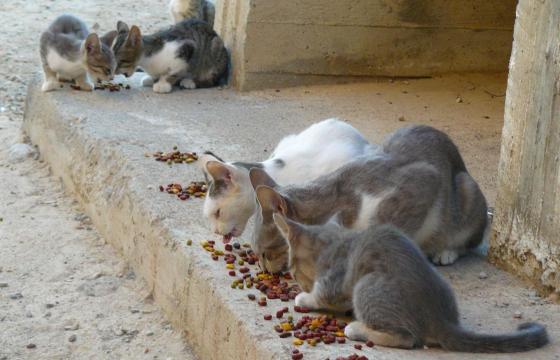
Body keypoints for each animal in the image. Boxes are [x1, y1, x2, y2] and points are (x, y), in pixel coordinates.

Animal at [252, 125, 488, 272]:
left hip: (467, 191)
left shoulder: (422, 181)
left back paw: (446, 252)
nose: (262, 268)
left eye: (264, 253)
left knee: (467, 240)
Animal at [274, 212, 548, 352]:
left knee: (407, 338)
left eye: (293, 270)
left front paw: (305, 296)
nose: (298, 282)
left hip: (366, 286)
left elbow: (322, 294)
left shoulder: (334, 281)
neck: (337, 241)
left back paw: (357, 328)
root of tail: (441, 319)